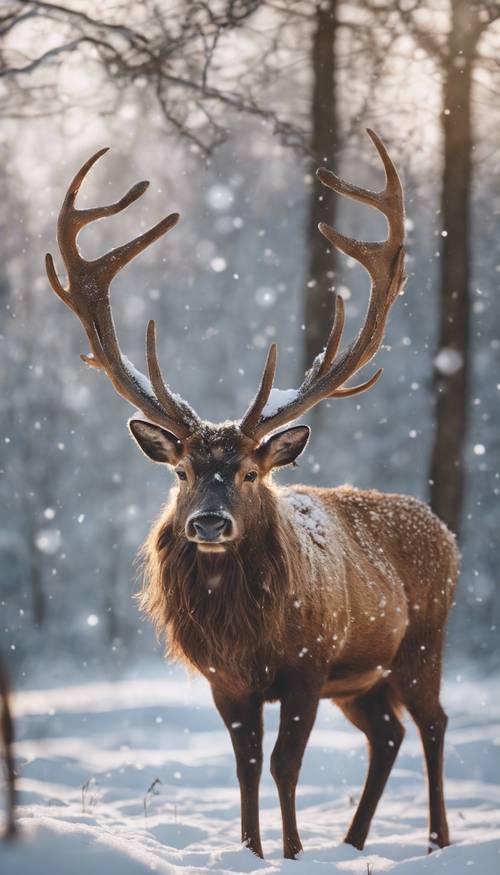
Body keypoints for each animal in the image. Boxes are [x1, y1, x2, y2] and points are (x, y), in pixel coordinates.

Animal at [47, 132, 458, 864]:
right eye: (182, 471)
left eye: (247, 473)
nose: (209, 523)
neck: (245, 636)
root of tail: (445, 531)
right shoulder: (226, 681)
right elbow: (244, 767)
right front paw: (251, 850)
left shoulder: (307, 664)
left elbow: (285, 765)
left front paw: (291, 852)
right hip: (365, 677)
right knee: (387, 733)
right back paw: (353, 841)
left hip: (420, 642)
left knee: (434, 722)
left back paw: (437, 839)